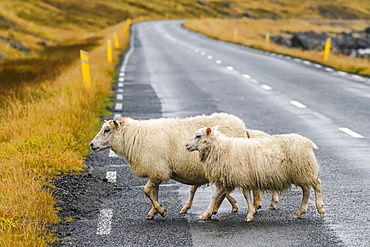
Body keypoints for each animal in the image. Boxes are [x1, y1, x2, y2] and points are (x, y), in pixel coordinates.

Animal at [89, 113, 249, 219]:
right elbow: (154, 192)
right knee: (223, 190)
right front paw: (153, 211)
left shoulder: (157, 169)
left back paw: (216, 209)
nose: (91, 144)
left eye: (107, 130)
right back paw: (228, 206)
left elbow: (146, 190)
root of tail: (241, 125)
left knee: (224, 190)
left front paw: (161, 210)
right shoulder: (155, 170)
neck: (135, 137)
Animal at [186, 126, 326, 221]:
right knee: (307, 190)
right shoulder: (229, 179)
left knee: (317, 184)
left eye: (198, 136)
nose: (186, 145)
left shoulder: (243, 176)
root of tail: (307, 142)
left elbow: (246, 195)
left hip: (304, 169)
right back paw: (300, 212)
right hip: (300, 172)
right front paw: (206, 214)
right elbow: (216, 196)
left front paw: (250, 214)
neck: (223, 148)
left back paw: (320, 208)